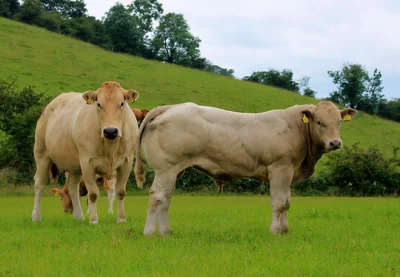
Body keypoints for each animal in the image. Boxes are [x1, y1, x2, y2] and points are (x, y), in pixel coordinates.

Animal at [30, 81, 139, 223]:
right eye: (99, 104)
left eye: (122, 103)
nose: (110, 131)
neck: (110, 145)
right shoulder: (87, 163)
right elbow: (93, 194)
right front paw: (93, 220)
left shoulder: (127, 162)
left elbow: (120, 192)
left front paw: (121, 219)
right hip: (41, 153)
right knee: (39, 183)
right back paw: (36, 216)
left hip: (75, 166)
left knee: (72, 188)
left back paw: (79, 217)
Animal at [134, 100, 356, 234]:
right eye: (319, 122)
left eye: (339, 122)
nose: (335, 142)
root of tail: (170, 107)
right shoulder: (280, 169)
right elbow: (279, 203)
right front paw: (274, 231)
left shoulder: (290, 174)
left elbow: (287, 203)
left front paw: (285, 231)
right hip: (166, 168)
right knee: (157, 197)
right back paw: (149, 232)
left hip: (174, 170)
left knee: (166, 199)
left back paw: (165, 232)